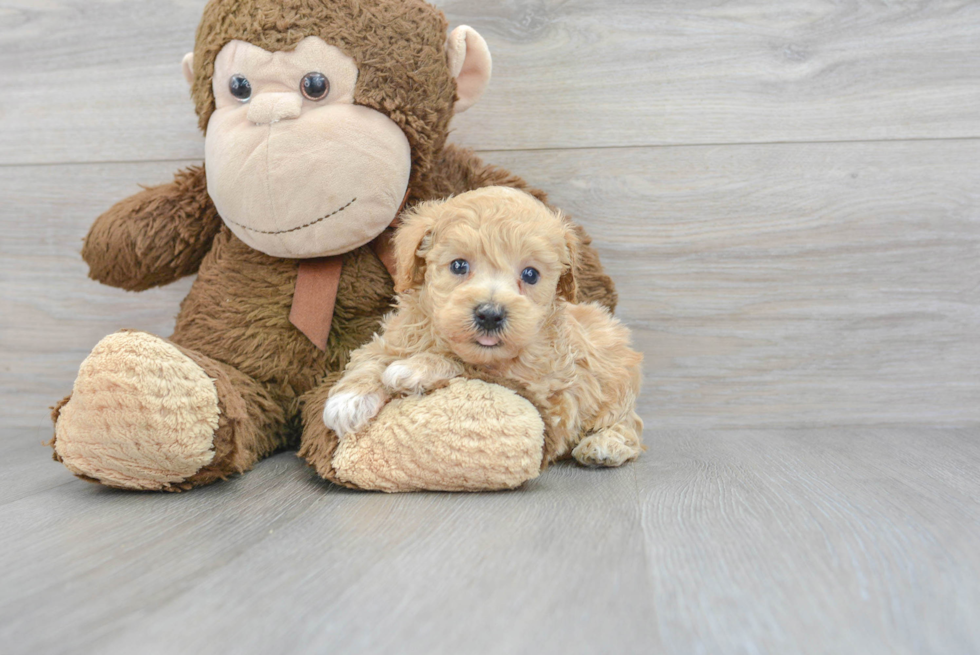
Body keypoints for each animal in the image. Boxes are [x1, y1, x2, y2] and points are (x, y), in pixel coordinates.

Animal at [322, 187, 644, 468]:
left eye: (530, 274)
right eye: (459, 266)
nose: (490, 315)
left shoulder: (541, 390)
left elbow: (467, 366)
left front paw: (416, 368)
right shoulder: (395, 336)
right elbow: (371, 358)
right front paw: (348, 400)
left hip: (617, 385)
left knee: (630, 425)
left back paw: (605, 446)